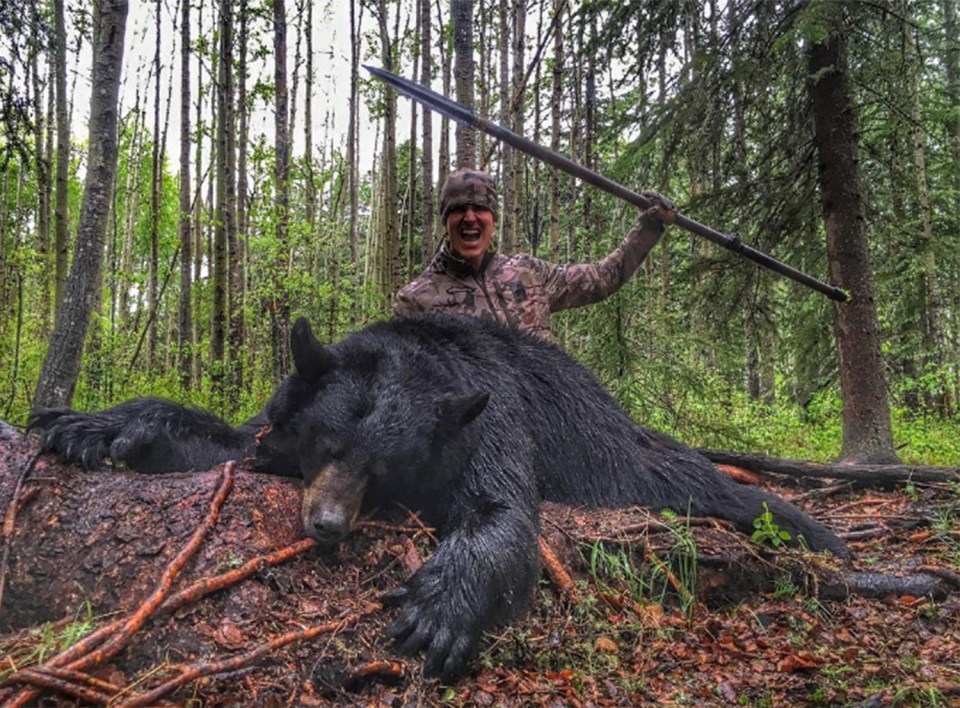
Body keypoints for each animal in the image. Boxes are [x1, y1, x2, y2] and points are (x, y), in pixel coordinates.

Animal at [30, 314, 844, 680]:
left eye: (385, 472)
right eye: (328, 446)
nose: (327, 524)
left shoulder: (494, 416)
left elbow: (501, 511)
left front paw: (438, 615)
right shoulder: (277, 429)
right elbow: (232, 438)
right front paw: (91, 427)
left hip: (622, 455)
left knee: (705, 484)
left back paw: (823, 536)